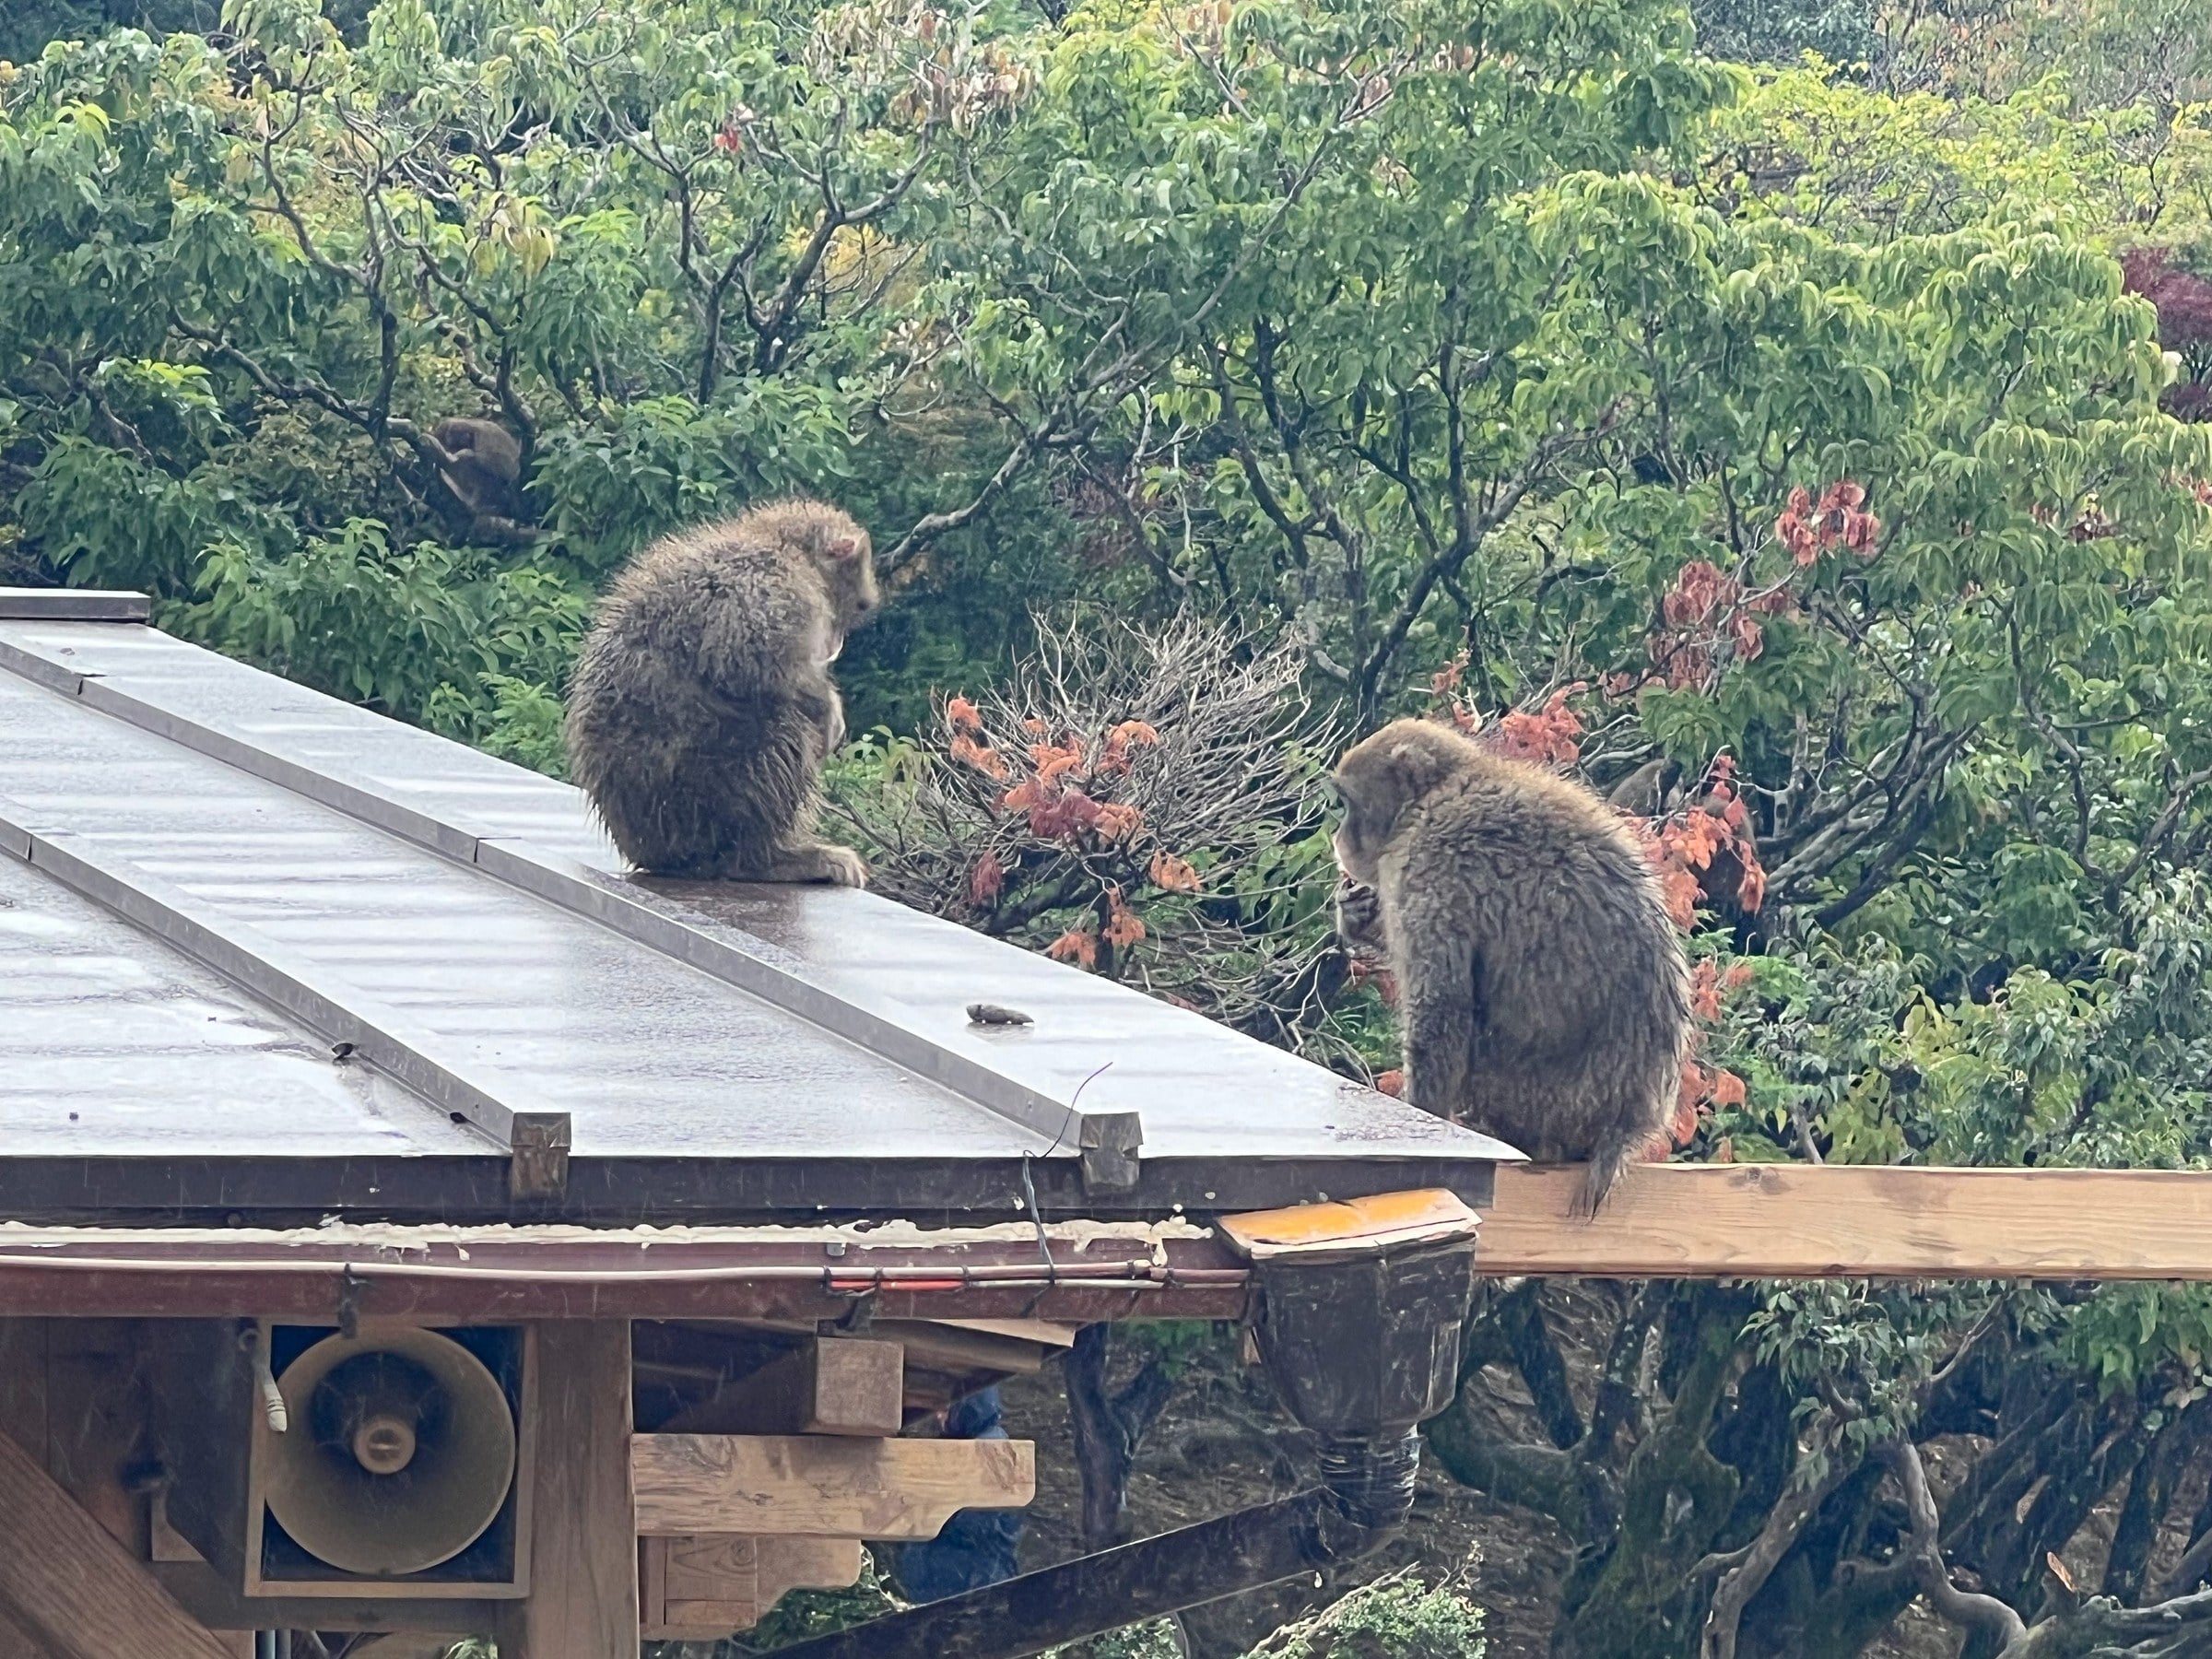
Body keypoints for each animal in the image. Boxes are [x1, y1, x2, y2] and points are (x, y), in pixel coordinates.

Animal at [563, 498, 878, 885]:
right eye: (857, 607)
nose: (836, 644)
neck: (785, 546)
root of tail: (650, 851)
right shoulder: (765, 584)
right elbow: (757, 662)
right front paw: (828, 708)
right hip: (700, 802)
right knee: (782, 727)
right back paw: (763, 859)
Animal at [1330, 718, 1691, 1216]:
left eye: (1347, 803)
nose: (1338, 839)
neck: (1436, 794)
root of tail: (1625, 1126)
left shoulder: (1428, 865)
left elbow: (1441, 1007)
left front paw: (1426, 1119)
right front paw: (1358, 915)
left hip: (1539, 1103)